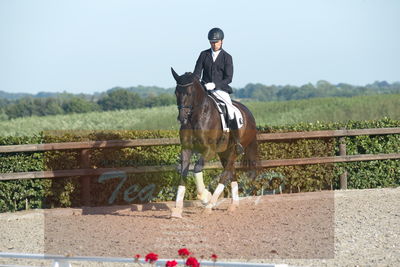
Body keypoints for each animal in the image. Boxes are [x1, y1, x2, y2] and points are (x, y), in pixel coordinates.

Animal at [170, 68, 258, 219]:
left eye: (189, 93)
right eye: (176, 92)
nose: (182, 118)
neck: (196, 117)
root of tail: (248, 112)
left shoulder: (209, 150)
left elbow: (197, 168)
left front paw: (205, 197)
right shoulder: (186, 149)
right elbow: (183, 172)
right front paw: (177, 209)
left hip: (235, 150)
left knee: (226, 174)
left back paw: (210, 205)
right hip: (224, 153)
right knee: (231, 172)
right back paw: (233, 205)